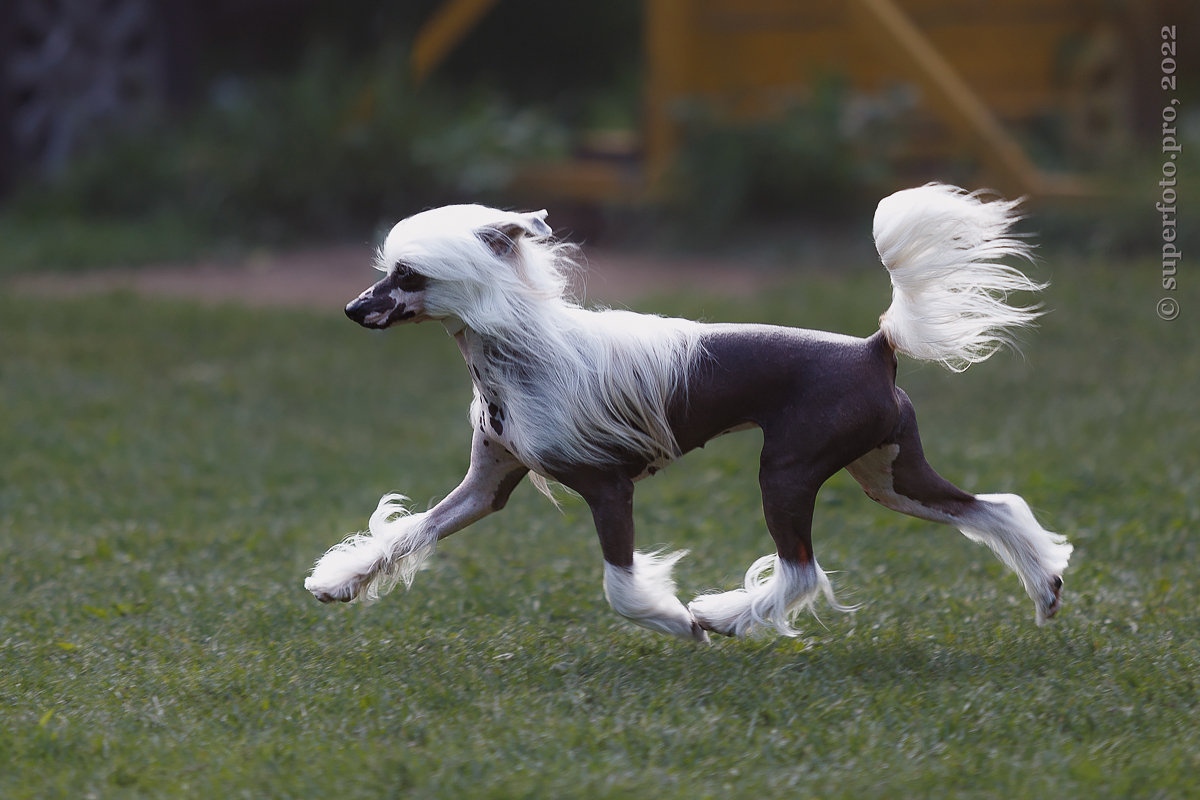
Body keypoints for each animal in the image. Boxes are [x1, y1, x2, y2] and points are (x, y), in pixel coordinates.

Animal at [304, 184, 1075, 642]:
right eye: (387, 272)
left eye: (409, 276)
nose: (350, 309)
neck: (518, 350)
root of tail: (873, 347)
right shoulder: (485, 487)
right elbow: (412, 532)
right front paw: (343, 579)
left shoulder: (607, 488)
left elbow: (620, 587)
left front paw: (677, 621)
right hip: (887, 474)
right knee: (991, 507)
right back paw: (1045, 587)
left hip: (788, 469)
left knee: (801, 570)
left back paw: (725, 616)